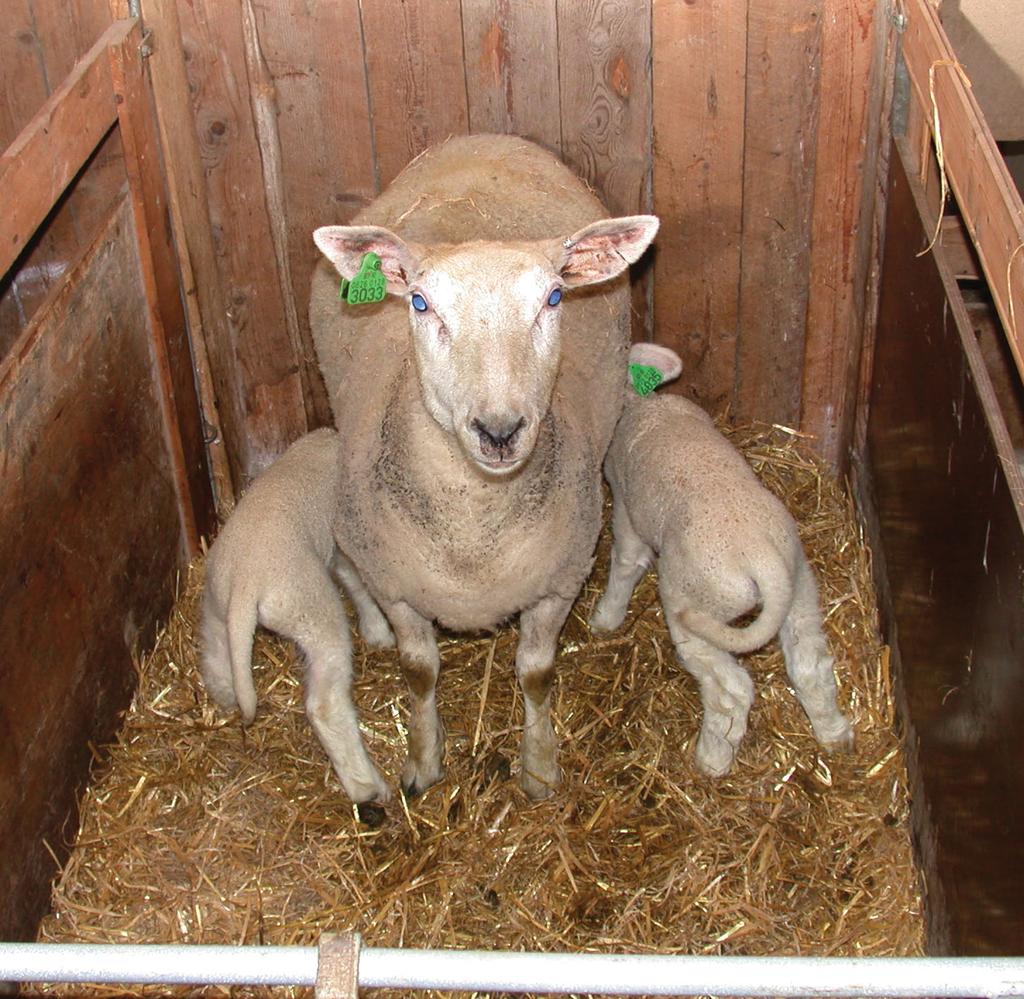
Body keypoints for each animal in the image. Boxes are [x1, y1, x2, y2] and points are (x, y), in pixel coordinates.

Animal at [201, 427, 393, 802]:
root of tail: (246, 581)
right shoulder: (344, 542)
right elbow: (358, 581)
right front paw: (379, 629)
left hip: (218, 602)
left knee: (214, 650)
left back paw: (226, 694)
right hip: (312, 610)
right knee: (325, 704)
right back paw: (365, 785)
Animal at [307, 133, 655, 802]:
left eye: (553, 298)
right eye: (420, 303)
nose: (499, 431)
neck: (473, 542)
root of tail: (484, 137)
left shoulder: (559, 581)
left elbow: (537, 674)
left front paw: (540, 769)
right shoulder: (397, 587)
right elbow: (418, 673)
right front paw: (423, 762)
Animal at [589, 348, 851, 777]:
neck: (640, 402)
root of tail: (761, 558)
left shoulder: (626, 508)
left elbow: (627, 561)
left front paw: (605, 618)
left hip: (697, 605)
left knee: (732, 691)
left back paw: (712, 759)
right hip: (799, 586)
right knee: (810, 665)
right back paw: (835, 734)